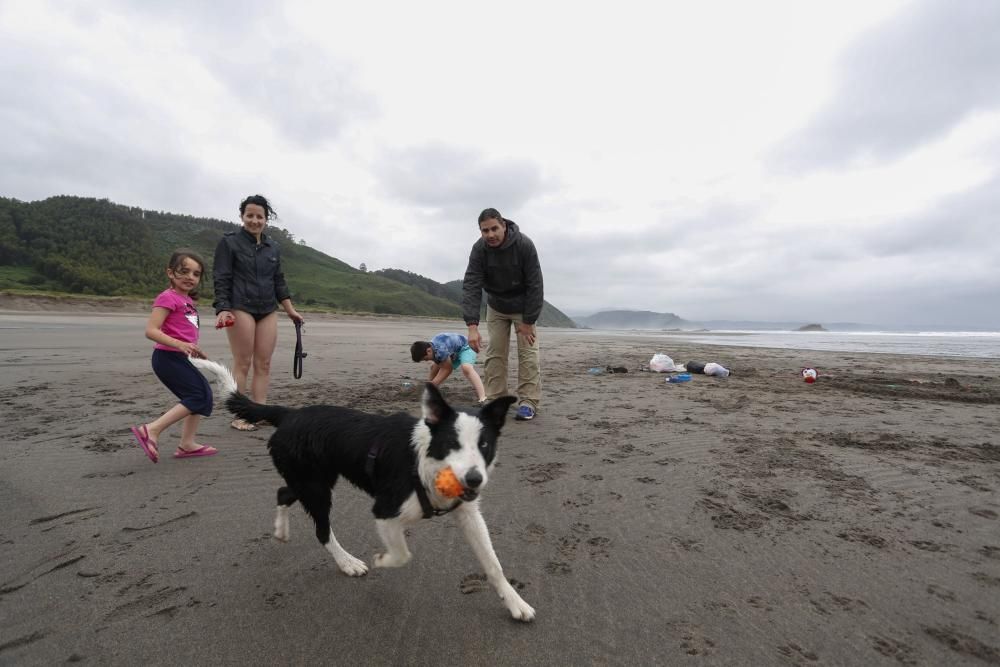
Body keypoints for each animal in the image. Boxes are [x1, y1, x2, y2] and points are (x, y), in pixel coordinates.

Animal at [196, 358, 540, 624]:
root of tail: (290, 414)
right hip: (316, 488)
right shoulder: (385, 510)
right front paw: (381, 560)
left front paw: (515, 603)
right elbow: (402, 554)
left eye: (484, 445)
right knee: (321, 530)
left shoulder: (468, 513)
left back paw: (282, 531)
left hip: (311, 480)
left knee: (283, 492)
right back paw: (347, 562)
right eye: (451, 443)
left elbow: (493, 564)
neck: (424, 462)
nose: (474, 480)